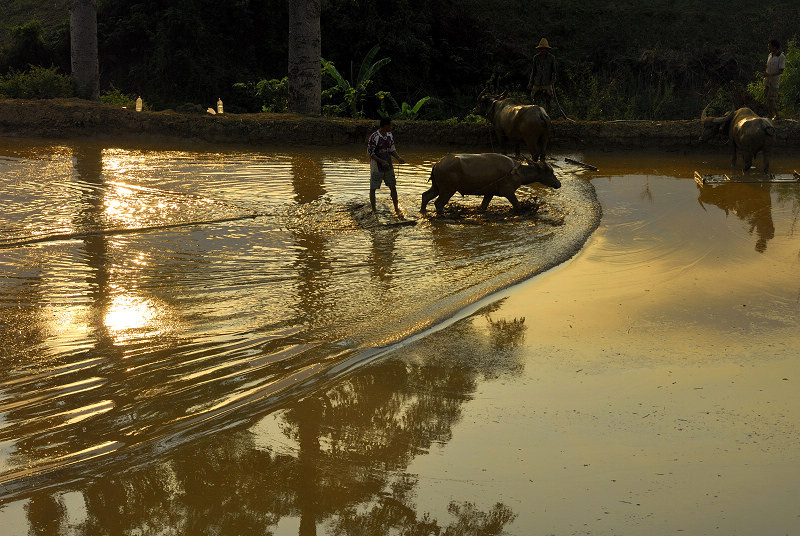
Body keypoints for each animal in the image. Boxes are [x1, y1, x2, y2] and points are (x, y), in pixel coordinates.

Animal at [418, 152, 564, 215]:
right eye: (550, 172)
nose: (558, 184)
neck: (517, 172)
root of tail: (437, 164)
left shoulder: (489, 193)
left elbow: (483, 207)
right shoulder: (508, 192)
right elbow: (517, 205)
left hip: (437, 187)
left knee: (426, 196)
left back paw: (423, 211)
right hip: (447, 190)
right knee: (438, 203)